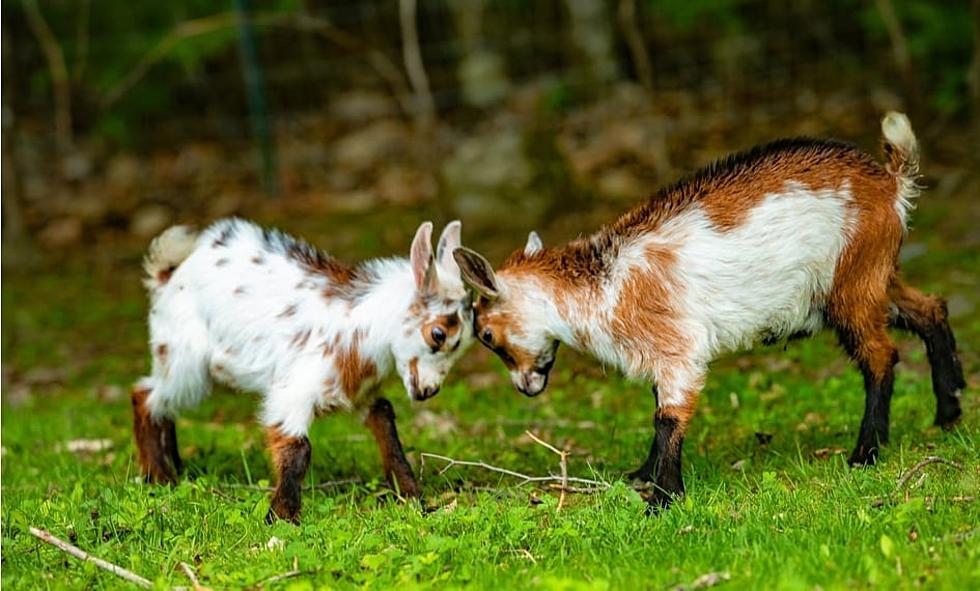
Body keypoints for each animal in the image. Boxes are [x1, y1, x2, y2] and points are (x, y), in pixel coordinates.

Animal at [133, 219, 474, 524]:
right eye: (438, 334)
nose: (429, 391)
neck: (363, 329)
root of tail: (168, 274)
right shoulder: (293, 394)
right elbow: (298, 450)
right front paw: (282, 517)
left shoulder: (359, 393)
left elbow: (385, 422)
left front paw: (413, 496)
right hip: (183, 361)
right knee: (145, 395)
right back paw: (158, 477)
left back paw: (175, 468)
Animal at [456, 113, 968, 512]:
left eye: (485, 335)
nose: (526, 387)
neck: (603, 283)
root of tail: (891, 184)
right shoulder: (662, 355)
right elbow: (658, 410)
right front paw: (642, 475)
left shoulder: (679, 348)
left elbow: (667, 417)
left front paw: (663, 501)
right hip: (869, 276)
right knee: (931, 309)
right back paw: (949, 410)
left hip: (852, 282)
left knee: (881, 356)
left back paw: (865, 452)